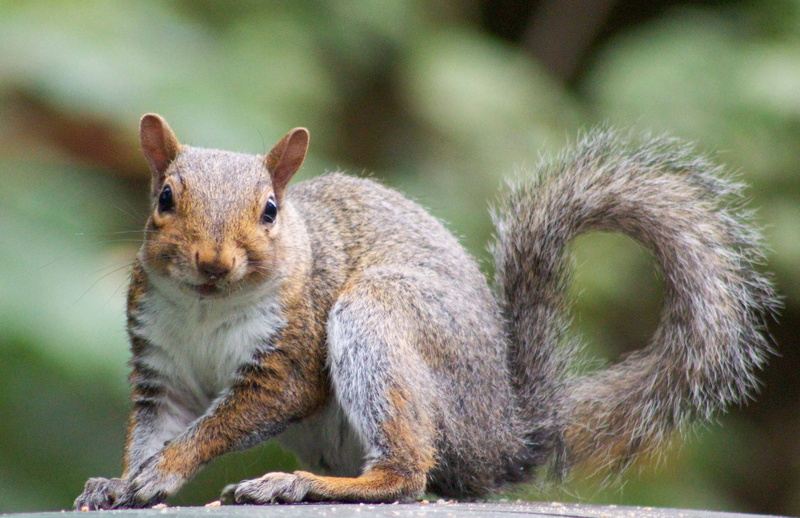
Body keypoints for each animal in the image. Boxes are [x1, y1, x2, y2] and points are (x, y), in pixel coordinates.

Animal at [75, 114, 777, 510]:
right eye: (164, 199)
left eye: (270, 210)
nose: (214, 261)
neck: (205, 309)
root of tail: (504, 435)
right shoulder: (161, 367)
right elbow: (159, 428)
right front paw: (120, 483)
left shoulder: (289, 356)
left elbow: (231, 419)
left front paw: (165, 470)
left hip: (379, 319)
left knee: (407, 475)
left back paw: (301, 484)